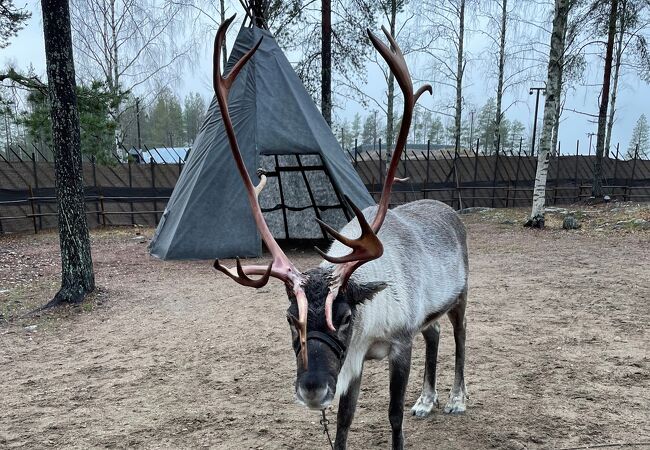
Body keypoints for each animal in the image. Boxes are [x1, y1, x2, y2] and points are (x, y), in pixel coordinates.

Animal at [211, 16, 469, 450]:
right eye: (290, 317)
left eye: (345, 315)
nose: (312, 389)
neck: (371, 325)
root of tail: (450, 211)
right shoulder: (355, 360)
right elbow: (345, 420)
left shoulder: (400, 345)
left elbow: (393, 416)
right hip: (430, 312)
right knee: (433, 335)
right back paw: (426, 400)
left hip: (462, 296)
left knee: (460, 336)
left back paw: (456, 399)